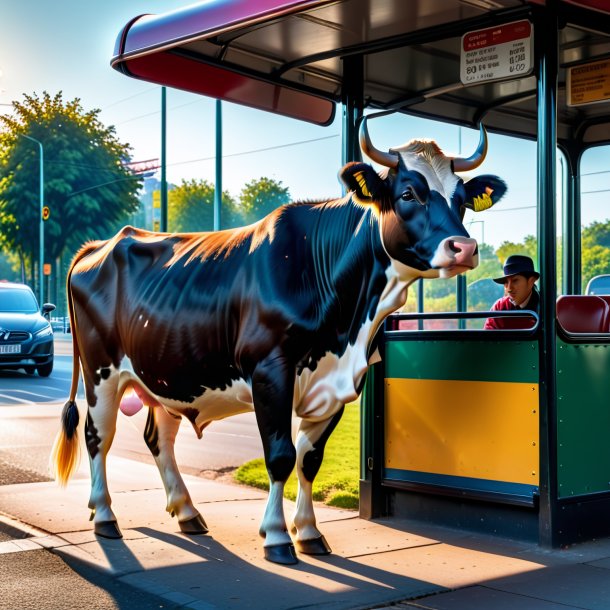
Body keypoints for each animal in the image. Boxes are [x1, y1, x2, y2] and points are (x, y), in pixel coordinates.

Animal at [50, 120, 504, 564]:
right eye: (409, 192)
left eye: (461, 199)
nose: (464, 247)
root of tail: (102, 245)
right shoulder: (271, 372)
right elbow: (281, 455)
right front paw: (277, 537)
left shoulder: (336, 385)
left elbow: (309, 460)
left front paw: (309, 533)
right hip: (101, 370)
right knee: (98, 434)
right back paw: (104, 516)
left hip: (167, 374)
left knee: (158, 437)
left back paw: (187, 513)